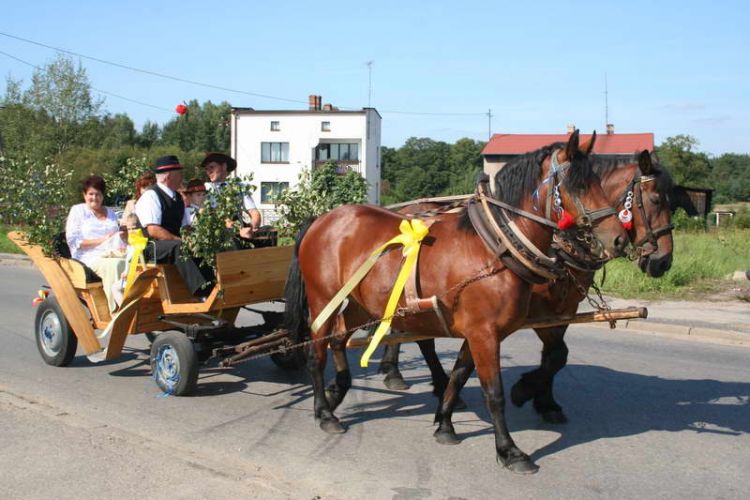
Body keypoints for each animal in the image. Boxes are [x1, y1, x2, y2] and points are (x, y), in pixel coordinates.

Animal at [284, 130, 624, 472]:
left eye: (598, 181)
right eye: (578, 185)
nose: (618, 239)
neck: (496, 246)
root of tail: (322, 219)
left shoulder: (478, 332)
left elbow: (459, 376)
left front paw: (445, 424)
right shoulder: (485, 334)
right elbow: (493, 392)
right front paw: (509, 449)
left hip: (359, 303)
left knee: (338, 337)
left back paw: (338, 389)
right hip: (323, 298)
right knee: (316, 353)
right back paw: (325, 412)